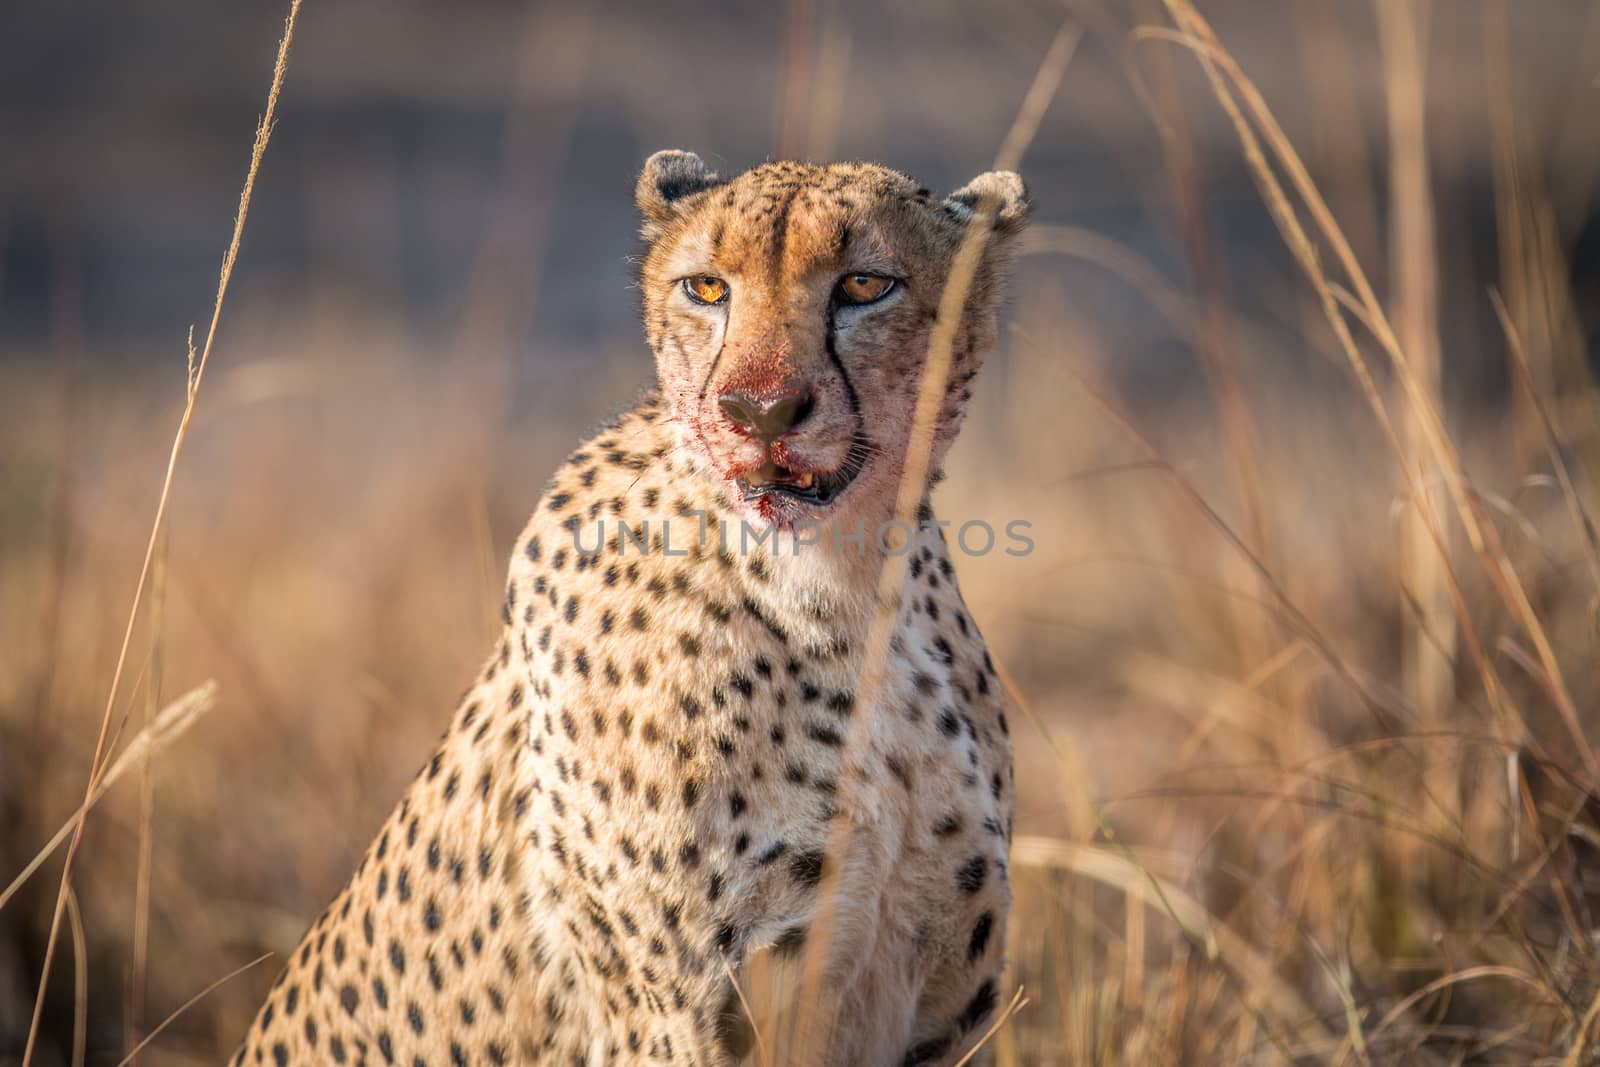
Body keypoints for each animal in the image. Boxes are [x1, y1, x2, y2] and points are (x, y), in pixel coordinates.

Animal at [241, 151, 1030, 1067]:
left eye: (867, 284)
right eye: (707, 288)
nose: (758, 410)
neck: (844, 589)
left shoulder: (941, 1012)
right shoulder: (675, 1017)